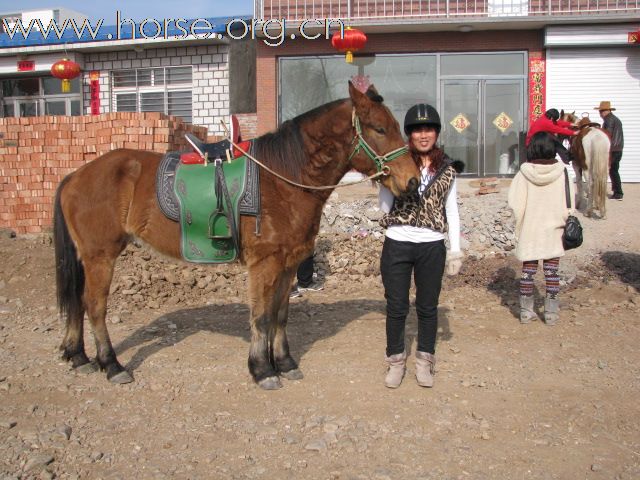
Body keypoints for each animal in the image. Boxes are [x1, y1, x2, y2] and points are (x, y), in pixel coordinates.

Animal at [53, 82, 420, 390]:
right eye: (379, 128)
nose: (413, 180)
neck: (283, 178)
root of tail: (75, 175)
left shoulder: (288, 265)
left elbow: (279, 315)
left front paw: (284, 362)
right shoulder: (264, 264)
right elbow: (261, 316)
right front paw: (262, 369)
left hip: (86, 258)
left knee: (77, 303)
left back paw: (79, 356)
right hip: (100, 256)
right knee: (94, 306)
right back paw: (112, 364)